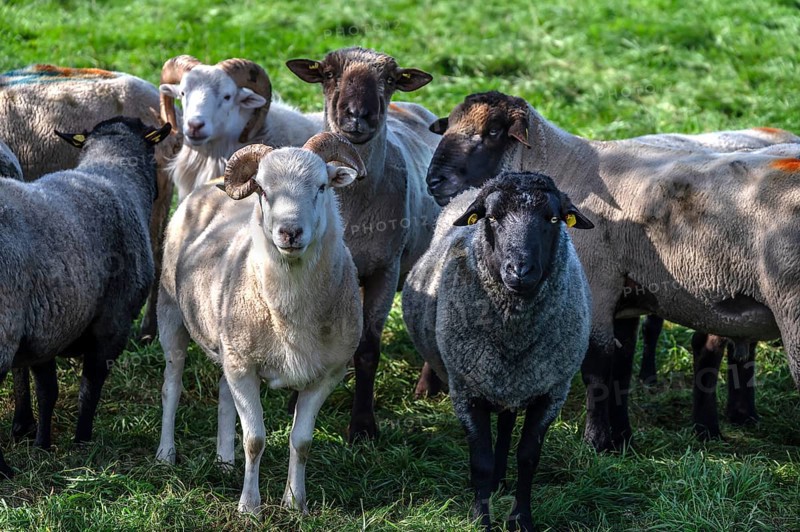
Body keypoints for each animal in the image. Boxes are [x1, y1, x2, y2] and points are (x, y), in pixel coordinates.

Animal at [0, 116, 171, 477]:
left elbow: (47, 392)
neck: (111, 172)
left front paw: (42, 444)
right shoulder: (112, 326)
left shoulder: (47, 327)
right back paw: (4, 470)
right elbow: (89, 389)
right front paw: (82, 441)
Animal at [156, 132, 366, 513]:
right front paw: (249, 507)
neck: (291, 313)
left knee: (224, 393)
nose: (290, 232)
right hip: (170, 313)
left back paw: (224, 462)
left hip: (230, 346)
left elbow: (302, 442)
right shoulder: (243, 368)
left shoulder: (325, 374)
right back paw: (166, 455)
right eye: (263, 190)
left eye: (322, 186)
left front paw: (295, 503)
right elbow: (255, 440)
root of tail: (210, 182)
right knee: (171, 386)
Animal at [286, 46, 441, 441]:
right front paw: (295, 403)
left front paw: (363, 426)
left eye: (390, 79)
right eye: (327, 74)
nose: (358, 114)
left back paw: (428, 387)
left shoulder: (385, 270)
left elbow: (369, 349)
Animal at [402, 171, 594, 531]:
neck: (514, 332)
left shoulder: (551, 392)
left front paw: (521, 519)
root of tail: (471, 188)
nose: (519, 271)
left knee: (505, 429)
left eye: (552, 218)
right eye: (491, 218)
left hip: (513, 382)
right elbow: (481, 461)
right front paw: (480, 519)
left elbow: (528, 457)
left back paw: (501, 482)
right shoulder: (466, 392)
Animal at [425, 90, 800, 451]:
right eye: (448, 127)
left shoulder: (598, 283)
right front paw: (621, 438)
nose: (433, 181)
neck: (564, 164)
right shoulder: (625, 296)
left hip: (790, 308)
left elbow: (597, 367)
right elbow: (620, 368)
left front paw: (597, 441)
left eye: (491, 132)